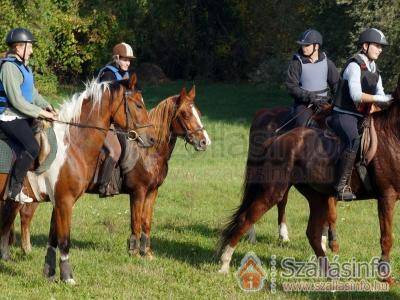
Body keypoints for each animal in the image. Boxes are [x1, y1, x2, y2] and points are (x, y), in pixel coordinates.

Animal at [0, 73, 156, 284]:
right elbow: (64, 240)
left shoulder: (58, 202)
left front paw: (49, 273)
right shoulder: (65, 202)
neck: (73, 144)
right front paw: (68, 277)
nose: (152, 139)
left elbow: (53, 239)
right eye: (138, 105)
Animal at [217, 77, 400, 284]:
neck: (392, 134)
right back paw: (225, 262)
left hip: (316, 196)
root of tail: (277, 138)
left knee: (311, 232)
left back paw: (330, 273)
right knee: (248, 217)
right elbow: (386, 237)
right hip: (273, 190)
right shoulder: (386, 196)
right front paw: (386, 277)